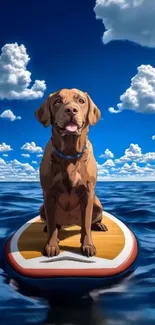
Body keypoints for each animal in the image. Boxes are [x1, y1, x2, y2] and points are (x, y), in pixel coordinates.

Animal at [35, 87, 108, 256]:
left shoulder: (87, 193)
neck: (69, 153)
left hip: (97, 204)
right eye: (57, 101)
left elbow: (86, 224)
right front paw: (51, 246)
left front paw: (87, 245)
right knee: (54, 224)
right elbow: (52, 223)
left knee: (90, 222)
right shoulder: (49, 193)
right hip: (42, 207)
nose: (71, 110)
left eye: (80, 101)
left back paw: (99, 225)